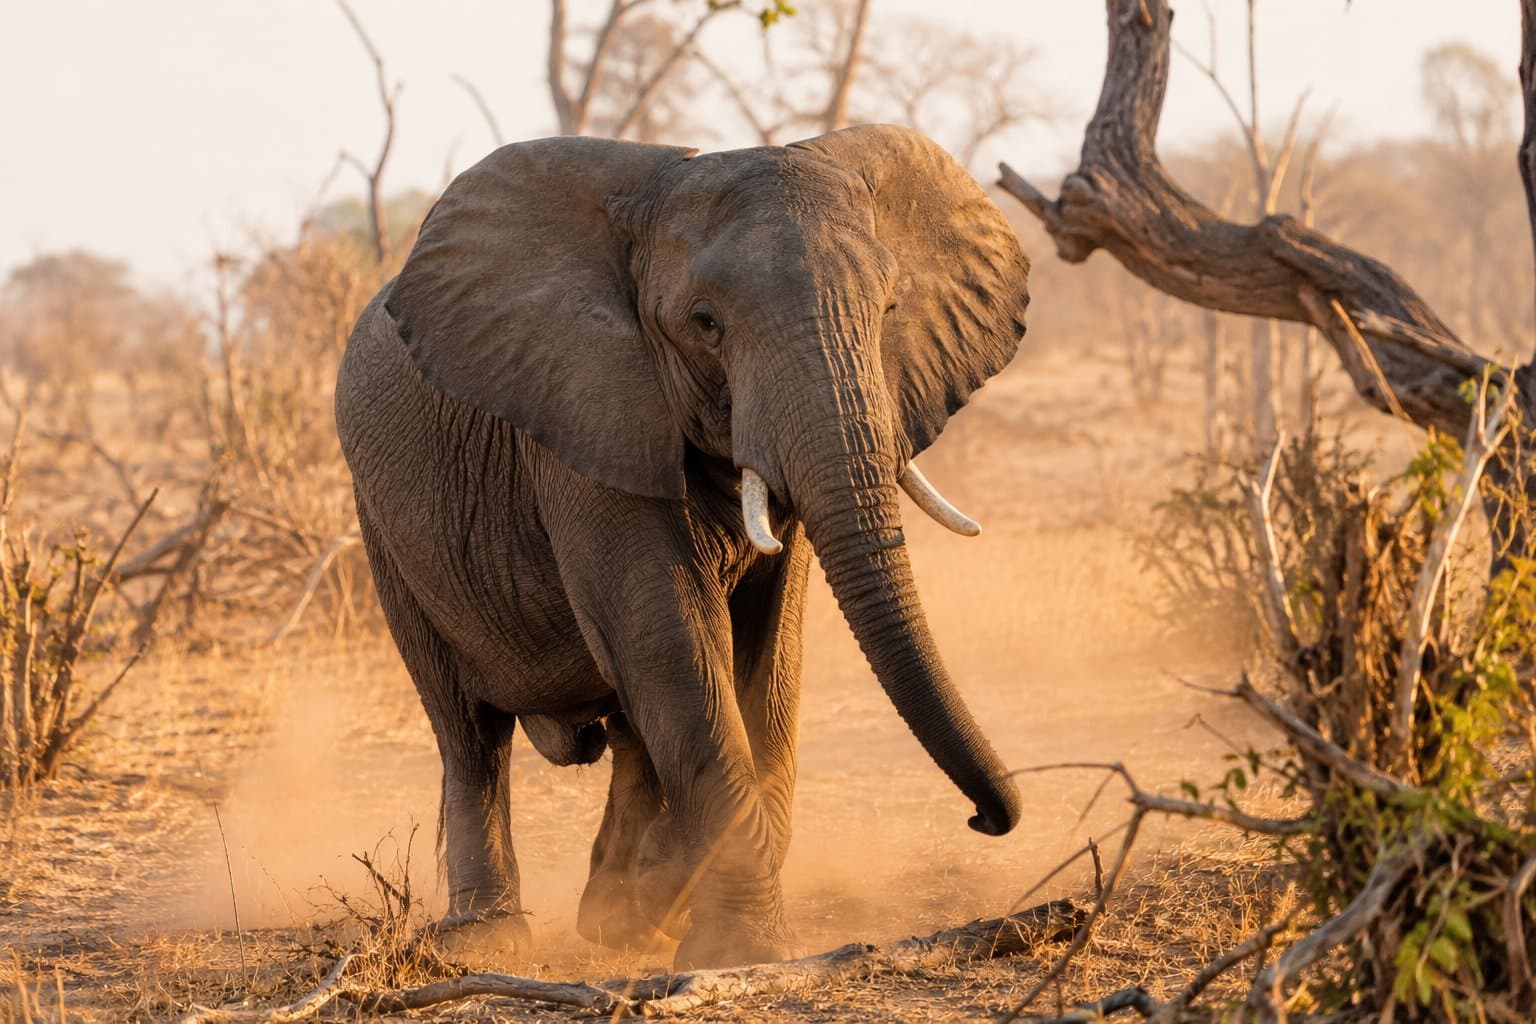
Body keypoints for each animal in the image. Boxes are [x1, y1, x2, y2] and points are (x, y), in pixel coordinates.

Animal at [334, 123, 1031, 970]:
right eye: (705, 323)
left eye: (890, 307)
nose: (984, 820)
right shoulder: (584, 410)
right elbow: (670, 640)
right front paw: (735, 948)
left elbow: (768, 656)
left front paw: (661, 902)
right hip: (383, 527)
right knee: (468, 731)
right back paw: (489, 940)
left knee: (627, 729)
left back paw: (615, 918)